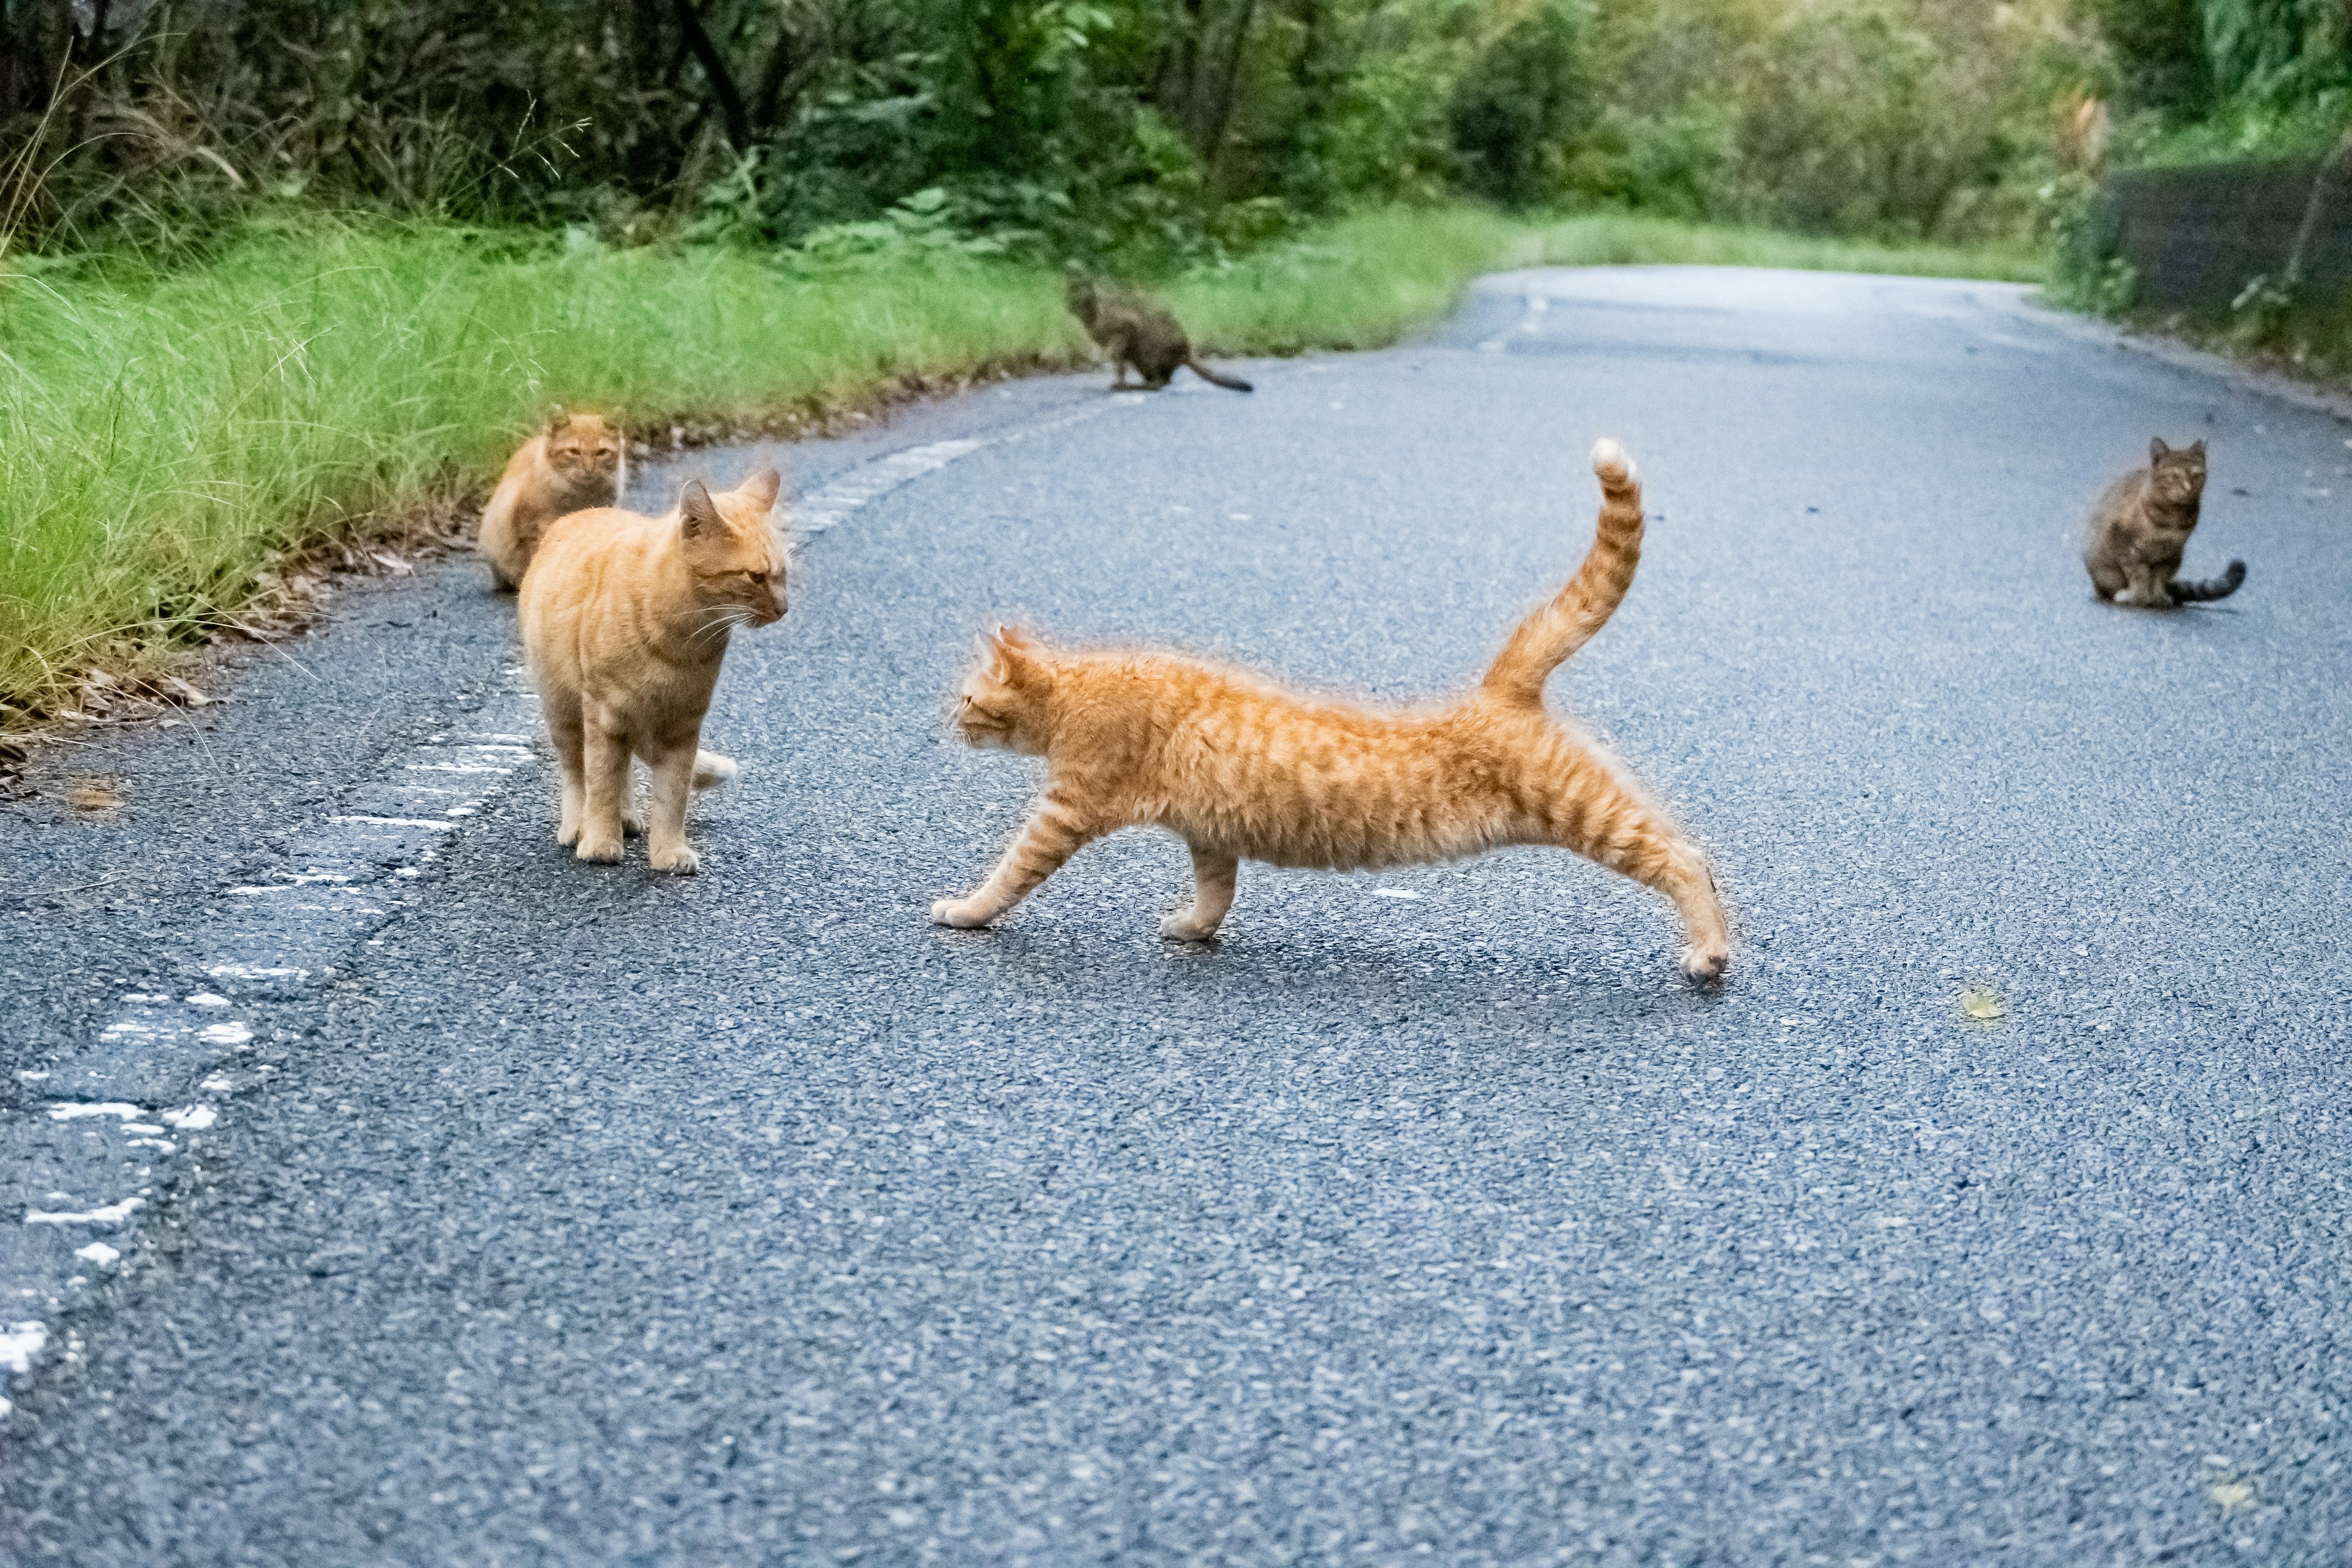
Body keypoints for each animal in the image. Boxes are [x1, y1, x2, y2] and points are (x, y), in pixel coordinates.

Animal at [517, 472, 790, 879]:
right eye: (755, 577)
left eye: (783, 574)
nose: (785, 608)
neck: (680, 641)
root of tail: (582, 512)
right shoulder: (604, 716)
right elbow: (600, 784)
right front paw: (600, 842)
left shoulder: (681, 728)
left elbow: (671, 798)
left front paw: (668, 851)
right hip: (563, 709)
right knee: (577, 772)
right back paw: (577, 826)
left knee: (625, 771)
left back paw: (627, 817)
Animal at [931, 439, 1731, 982]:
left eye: (967, 696)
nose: (945, 723)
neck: (1083, 685)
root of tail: (1498, 689)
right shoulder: (1208, 834)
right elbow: (1217, 894)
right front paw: (1194, 928)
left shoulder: (1066, 808)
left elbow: (1009, 872)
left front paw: (963, 911)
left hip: (1588, 812)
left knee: (1685, 858)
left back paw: (1711, 951)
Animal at [1068, 273, 1251, 392]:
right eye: (1070, 297)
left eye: (1083, 297)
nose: (1071, 306)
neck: (1090, 319)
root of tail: (1186, 351)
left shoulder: (1128, 327)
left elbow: (1118, 361)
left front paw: (1119, 380)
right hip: (1141, 358)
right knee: (1164, 380)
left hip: (1147, 352)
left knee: (1160, 383)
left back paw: (1135, 386)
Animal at [2088, 444, 2248, 616]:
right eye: (2175, 476)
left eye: (2196, 475)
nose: (2188, 488)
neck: (2172, 519)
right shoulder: (2127, 547)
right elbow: (2139, 575)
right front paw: (2140, 597)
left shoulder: (2170, 554)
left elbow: (2159, 577)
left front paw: (2158, 597)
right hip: (2105, 571)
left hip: (2178, 557)